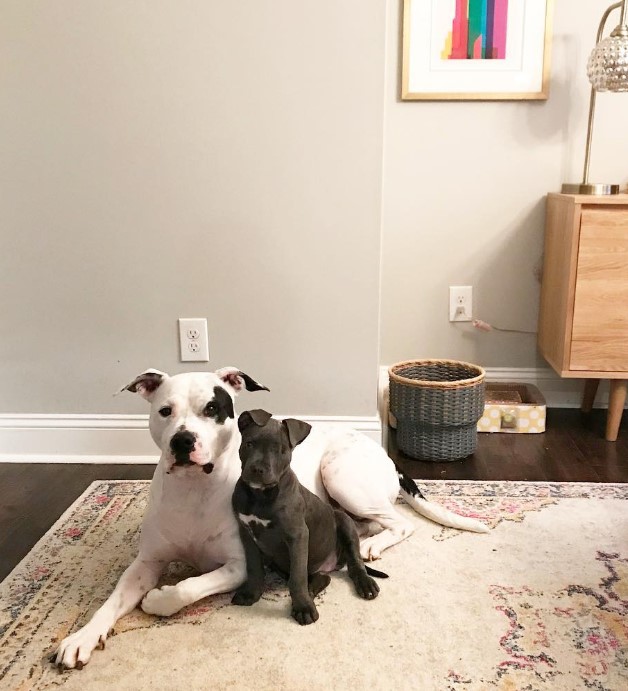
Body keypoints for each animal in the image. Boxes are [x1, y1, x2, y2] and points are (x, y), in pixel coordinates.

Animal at [233, 410, 386, 628]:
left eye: (280, 450)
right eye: (249, 444)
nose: (257, 469)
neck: (260, 496)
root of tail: (332, 564)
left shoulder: (297, 535)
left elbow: (297, 578)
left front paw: (303, 608)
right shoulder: (246, 534)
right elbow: (254, 567)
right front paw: (251, 593)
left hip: (344, 522)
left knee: (354, 563)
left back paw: (364, 584)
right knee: (321, 578)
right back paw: (313, 589)